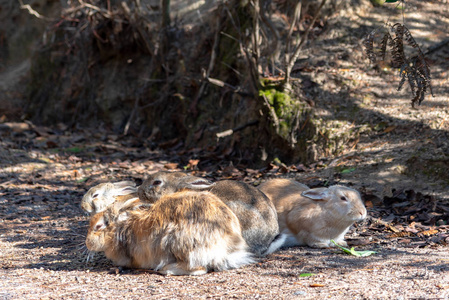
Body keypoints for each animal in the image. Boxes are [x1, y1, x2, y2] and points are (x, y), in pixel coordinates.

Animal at [85, 191, 252, 276]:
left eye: (98, 226)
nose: (87, 243)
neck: (123, 228)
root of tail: (225, 248)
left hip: (174, 241)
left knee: (199, 269)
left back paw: (166, 270)